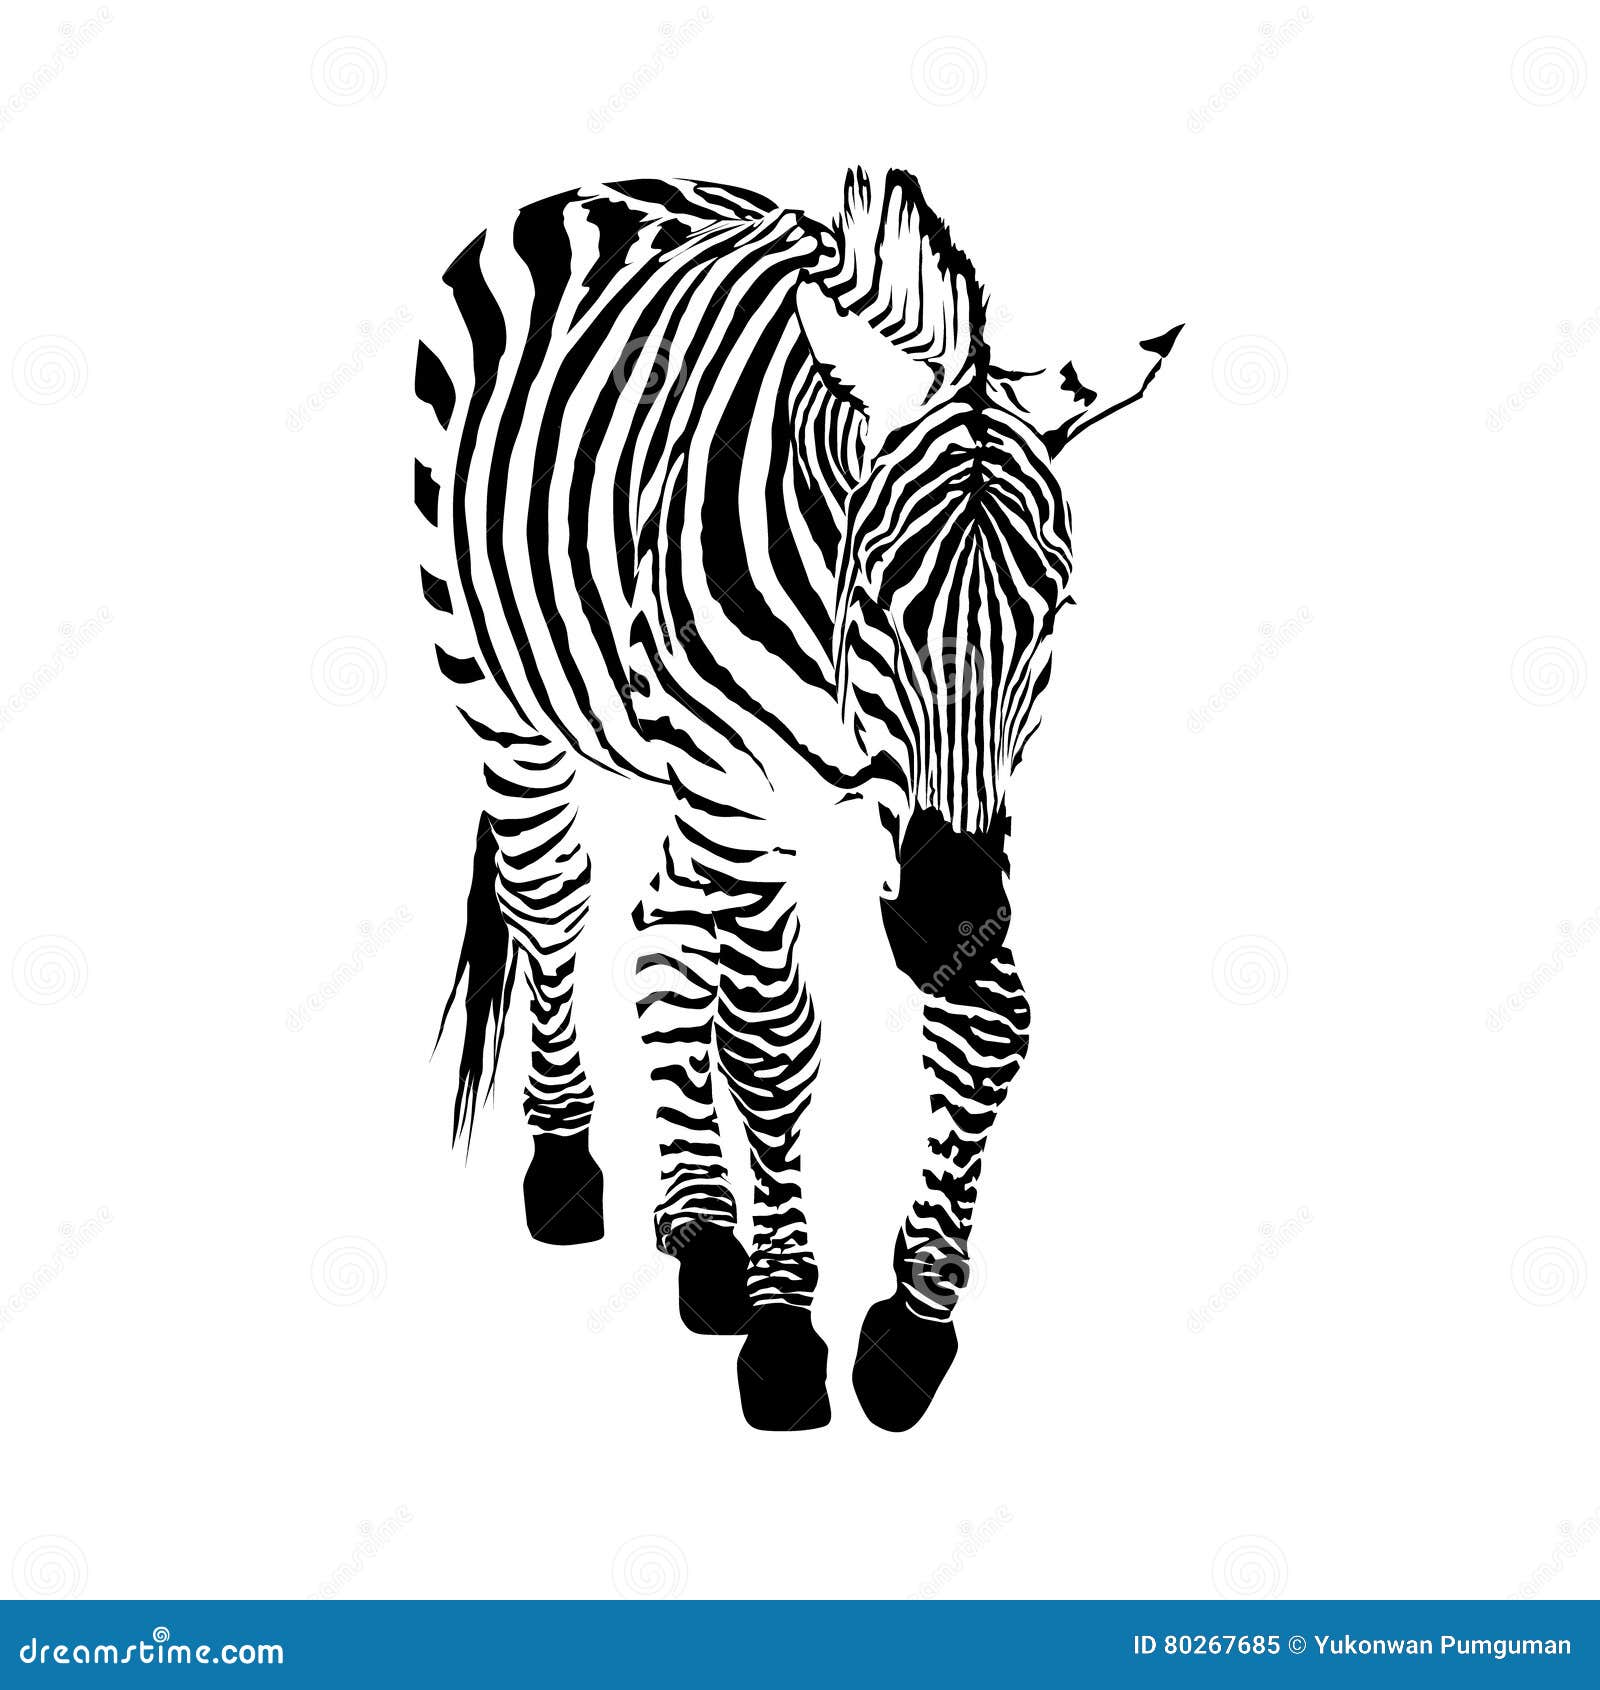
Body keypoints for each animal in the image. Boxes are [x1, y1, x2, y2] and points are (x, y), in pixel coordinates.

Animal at [411, 169, 1178, 1432]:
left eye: (1055, 608)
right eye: (878, 591)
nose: (951, 913)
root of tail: (605, 183)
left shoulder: (905, 812)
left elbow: (992, 1025)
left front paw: (912, 1319)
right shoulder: (747, 787)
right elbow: (769, 1039)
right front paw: (783, 1332)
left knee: (660, 931)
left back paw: (701, 1231)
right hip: (499, 691)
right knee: (551, 899)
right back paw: (570, 1165)